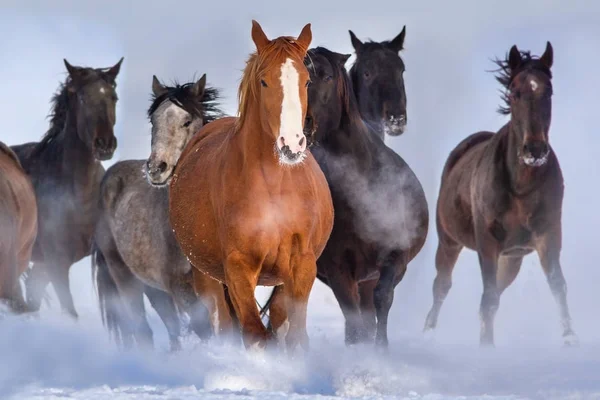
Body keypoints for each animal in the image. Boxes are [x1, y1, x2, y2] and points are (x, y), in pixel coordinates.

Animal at [95, 75, 233, 350]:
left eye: (187, 121)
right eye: (153, 121)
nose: (156, 168)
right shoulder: (182, 289)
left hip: (154, 288)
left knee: (171, 331)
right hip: (125, 277)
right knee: (143, 330)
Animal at [169, 21, 336, 354]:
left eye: (307, 81)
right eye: (264, 82)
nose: (292, 144)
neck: (275, 189)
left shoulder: (301, 266)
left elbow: (295, 336)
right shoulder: (238, 268)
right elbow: (255, 335)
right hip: (207, 277)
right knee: (224, 323)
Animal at [424, 42, 580, 346]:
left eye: (548, 91)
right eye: (515, 92)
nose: (535, 150)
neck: (521, 187)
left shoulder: (548, 234)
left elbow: (558, 284)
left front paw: (569, 337)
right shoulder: (487, 242)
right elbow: (489, 298)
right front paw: (487, 346)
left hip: (512, 259)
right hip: (449, 241)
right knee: (442, 285)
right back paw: (428, 332)